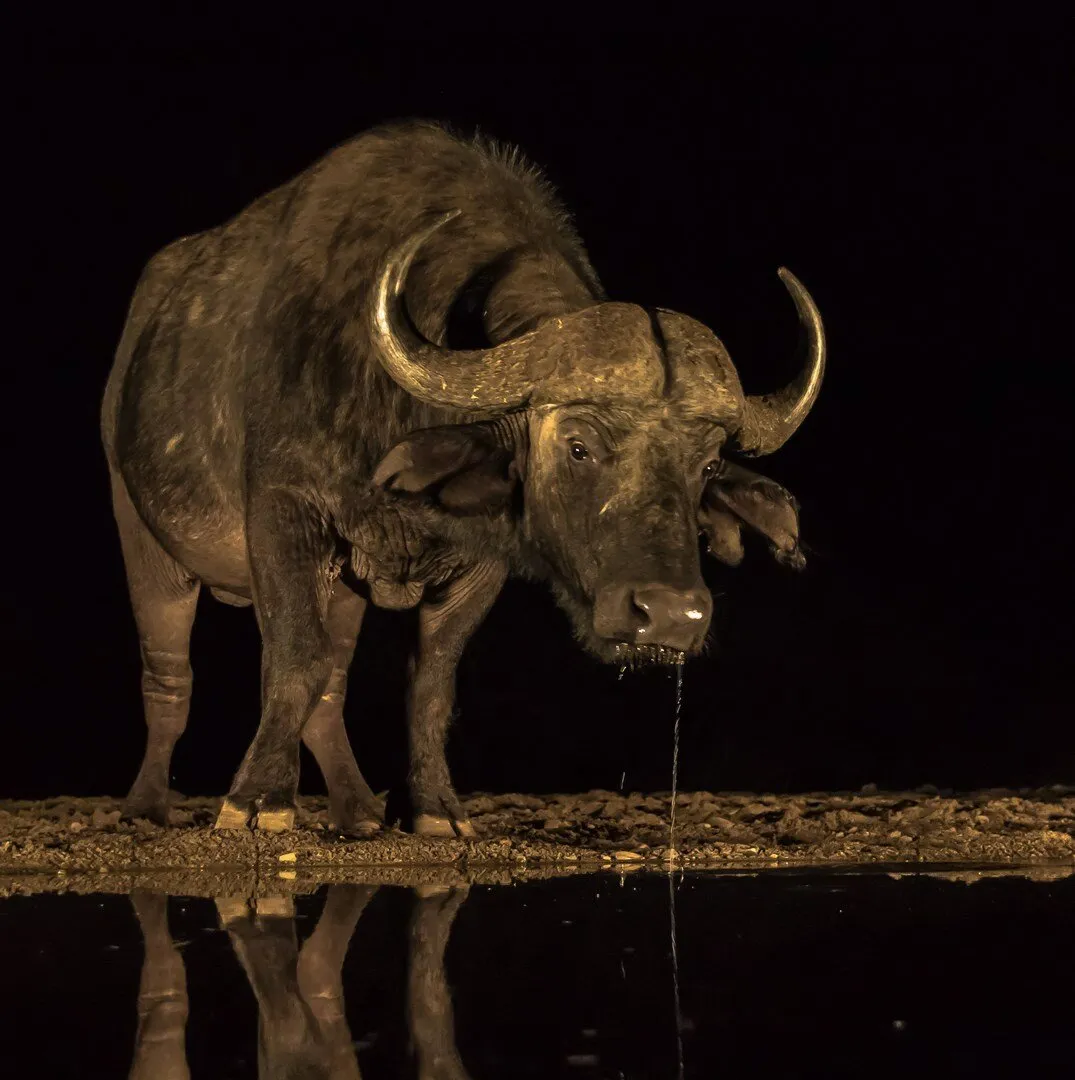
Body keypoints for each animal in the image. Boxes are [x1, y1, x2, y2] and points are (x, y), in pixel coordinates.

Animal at [102, 121, 824, 836]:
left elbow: (428, 684)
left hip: (345, 584)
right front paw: (256, 800)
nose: (671, 614)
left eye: (706, 466)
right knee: (168, 676)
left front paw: (432, 808)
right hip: (143, 534)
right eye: (579, 447)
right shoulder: (283, 515)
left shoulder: (480, 563)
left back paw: (355, 808)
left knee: (332, 687)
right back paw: (146, 804)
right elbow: (292, 659)